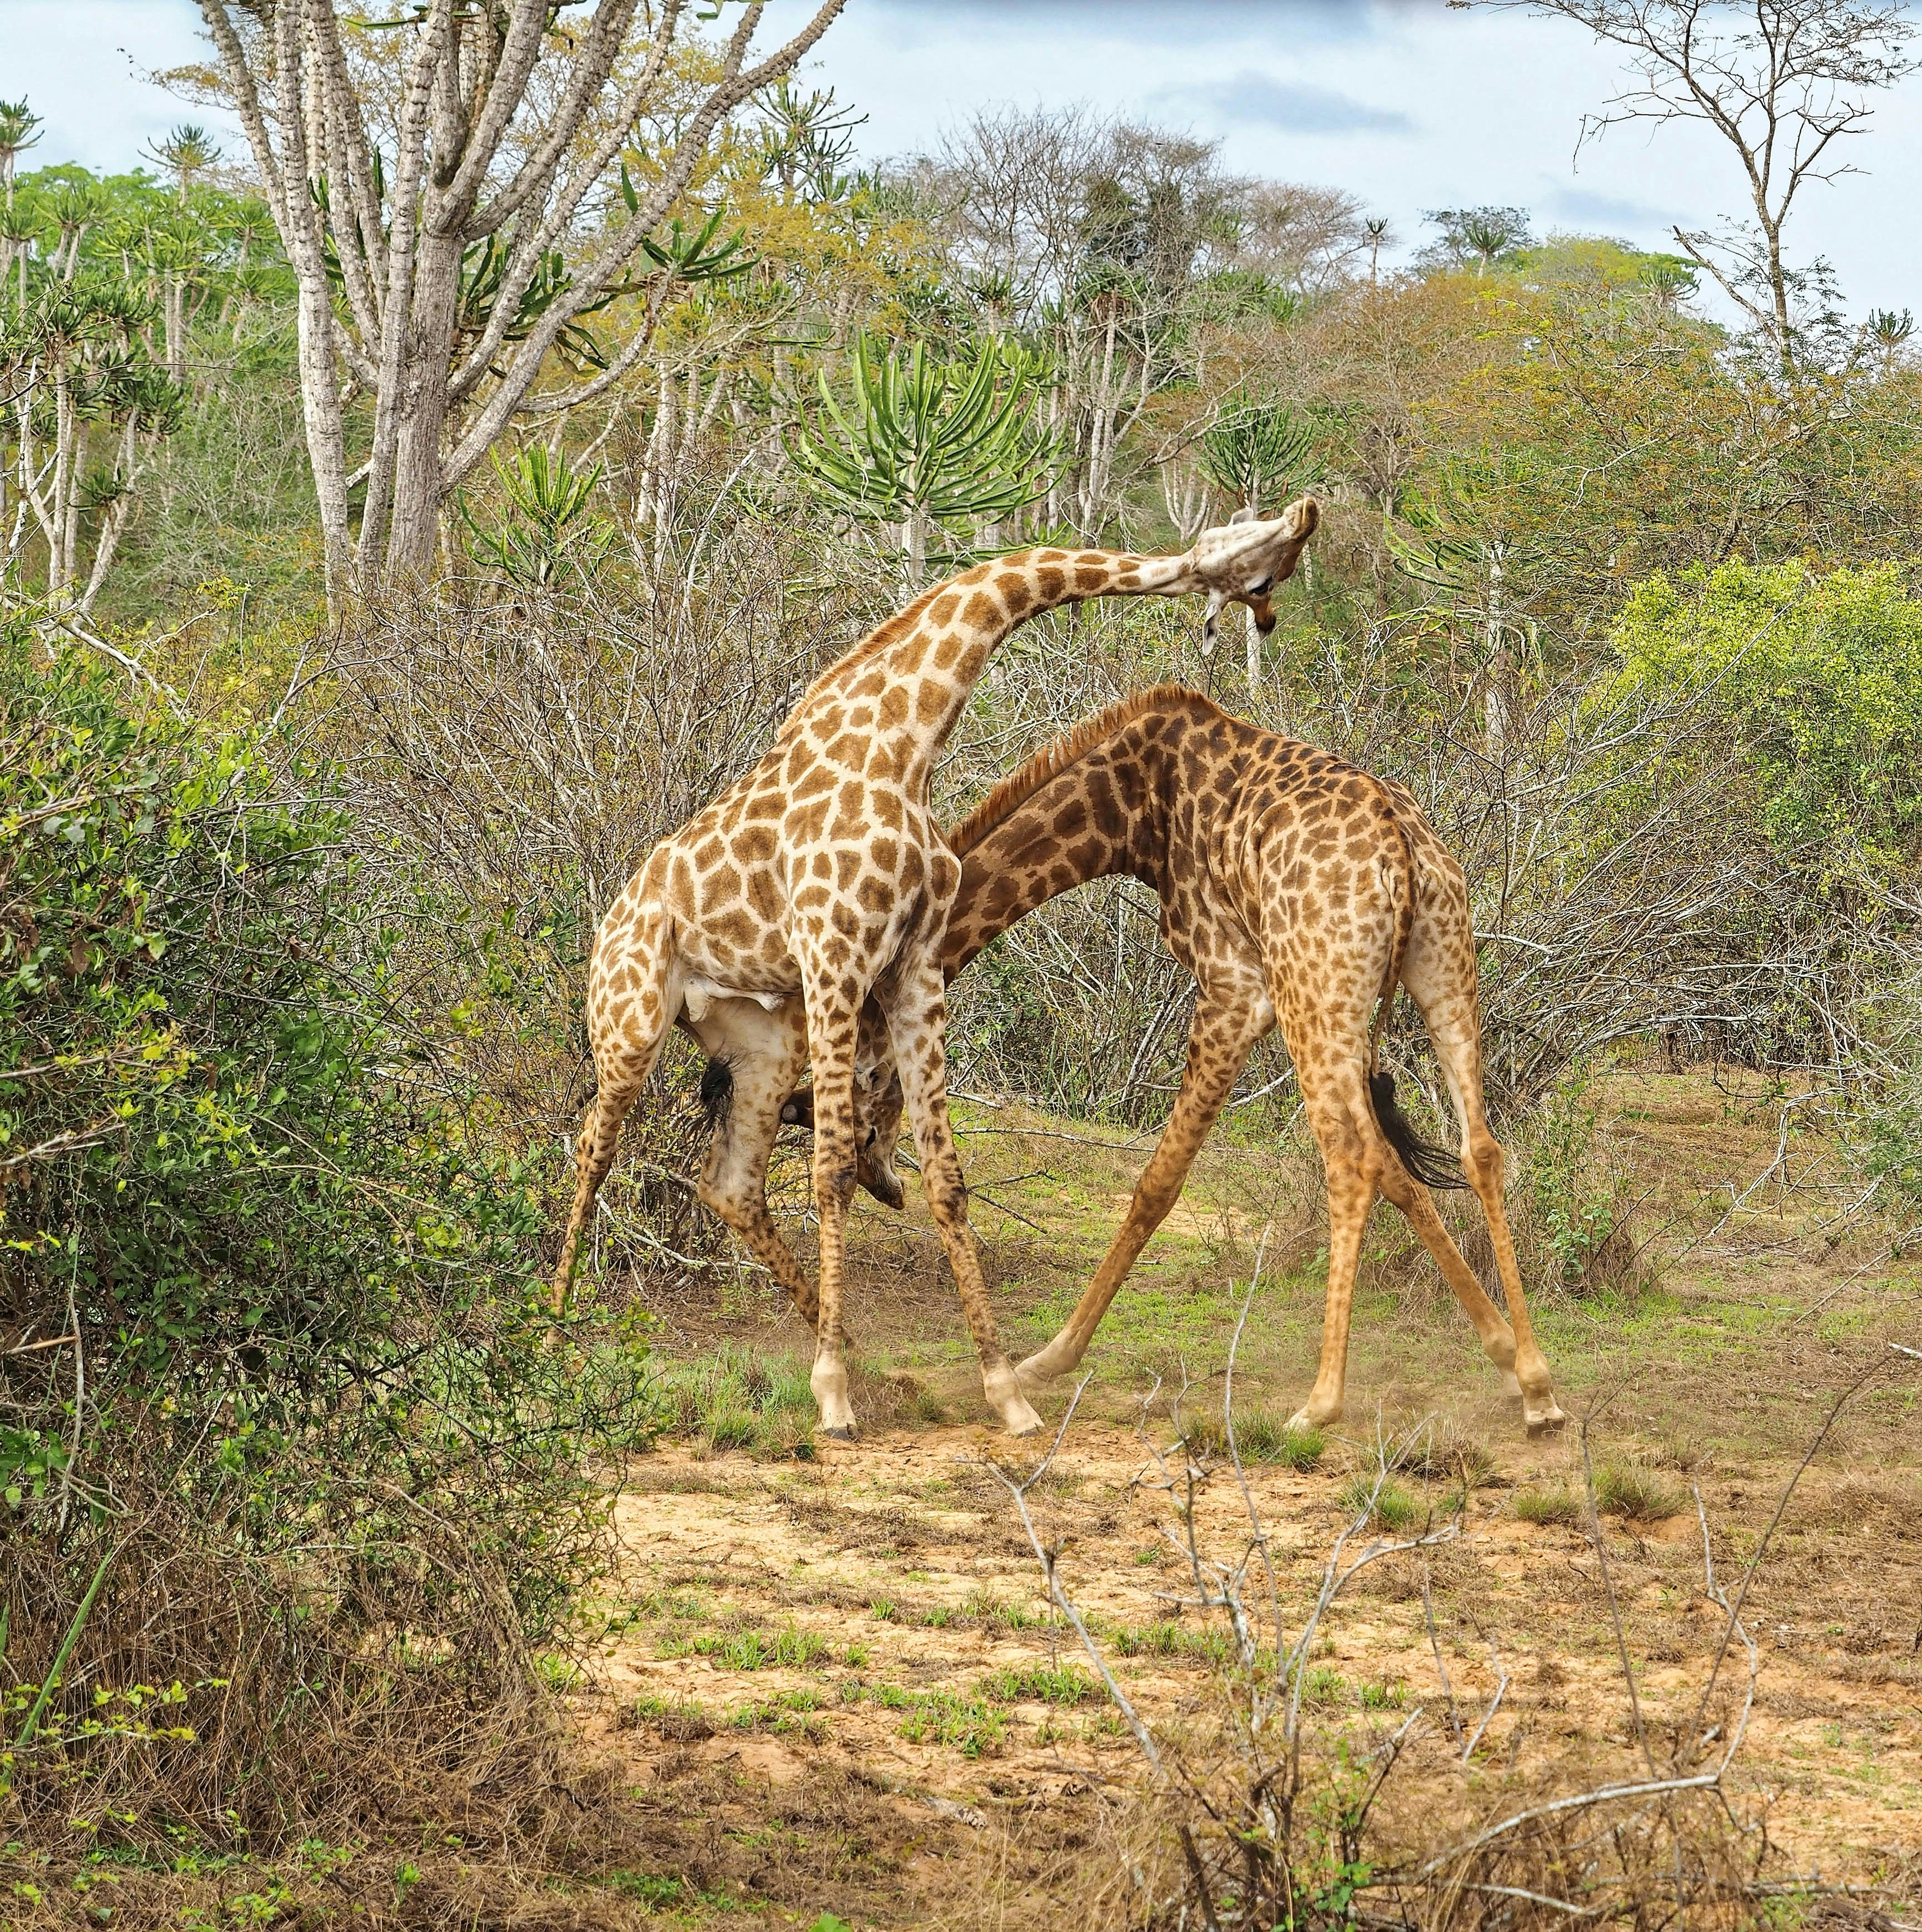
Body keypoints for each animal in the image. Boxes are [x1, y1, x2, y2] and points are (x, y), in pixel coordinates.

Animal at [550, 504, 1322, 1440]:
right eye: (1261, 562)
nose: (1301, 523)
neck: (904, 742)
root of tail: (611, 917)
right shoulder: (836, 952)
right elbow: (832, 1167)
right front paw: (834, 1396)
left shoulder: (912, 967)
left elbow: (948, 1180)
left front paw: (1005, 1392)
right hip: (628, 1018)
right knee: (593, 1147)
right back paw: (551, 1339)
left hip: (760, 1042)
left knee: (730, 1183)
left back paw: (859, 1355)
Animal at [779, 686, 1566, 1437]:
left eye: (866, 1085)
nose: (886, 1187)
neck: (1130, 810)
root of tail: (1400, 851)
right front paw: (1506, 1359)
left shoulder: (1233, 987)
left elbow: (1157, 1181)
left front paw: (1050, 1357)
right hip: (1441, 964)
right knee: (1478, 1149)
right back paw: (1536, 1384)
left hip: (1315, 989)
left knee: (1352, 1158)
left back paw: (1320, 1403)